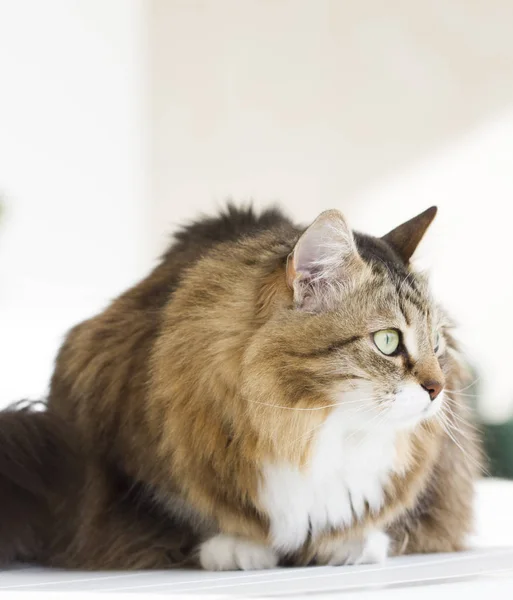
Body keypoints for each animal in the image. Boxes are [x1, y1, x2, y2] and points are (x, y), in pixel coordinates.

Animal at [0, 206, 480, 572]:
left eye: (437, 343)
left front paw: (352, 543)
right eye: (388, 341)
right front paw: (235, 548)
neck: (311, 430)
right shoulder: (118, 454)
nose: (437, 389)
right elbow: (177, 517)